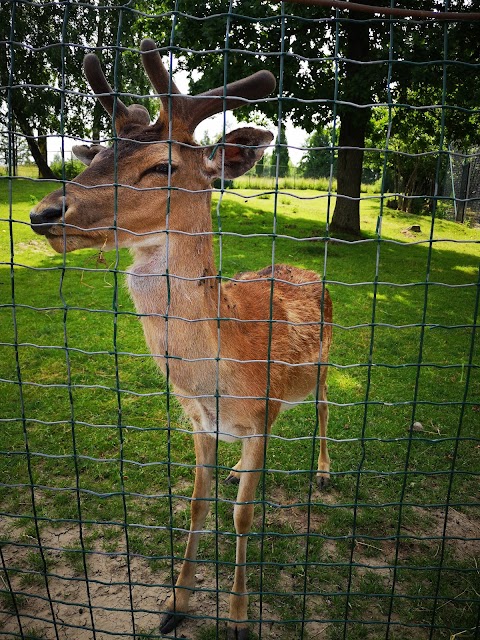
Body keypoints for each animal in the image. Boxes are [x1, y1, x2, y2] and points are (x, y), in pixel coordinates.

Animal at [29, 40, 330, 640]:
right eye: (93, 157)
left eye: (163, 165)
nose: (43, 213)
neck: (225, 374)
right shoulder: (198, 422)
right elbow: (196, 503)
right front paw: (175, 604)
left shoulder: (261, 414)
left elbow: (242, 514)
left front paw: (237, 618)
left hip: (331, 356)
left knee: (328, 402)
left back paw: (327, 471)